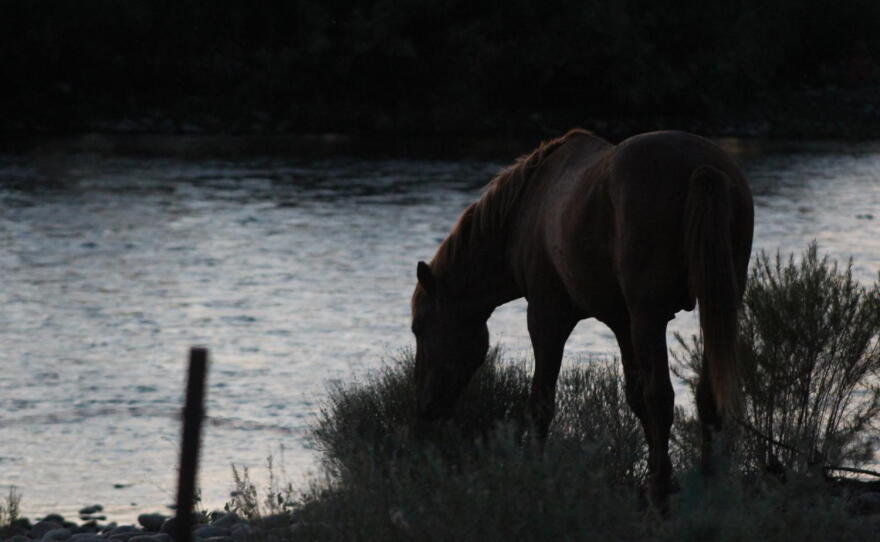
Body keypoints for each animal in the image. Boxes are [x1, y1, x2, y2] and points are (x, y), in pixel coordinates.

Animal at [410, 129, 754, 504]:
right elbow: (635, 397)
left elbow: (542, 402)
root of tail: (701, 167)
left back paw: (660, 496)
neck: (525, 211)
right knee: (706, 397)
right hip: (714, 305)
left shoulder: (547, 316)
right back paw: (705, 484)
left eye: (419, 327)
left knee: (662, 397)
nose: (424, 405)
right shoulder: (621, 323)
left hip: (649, 314)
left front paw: (533, 472)